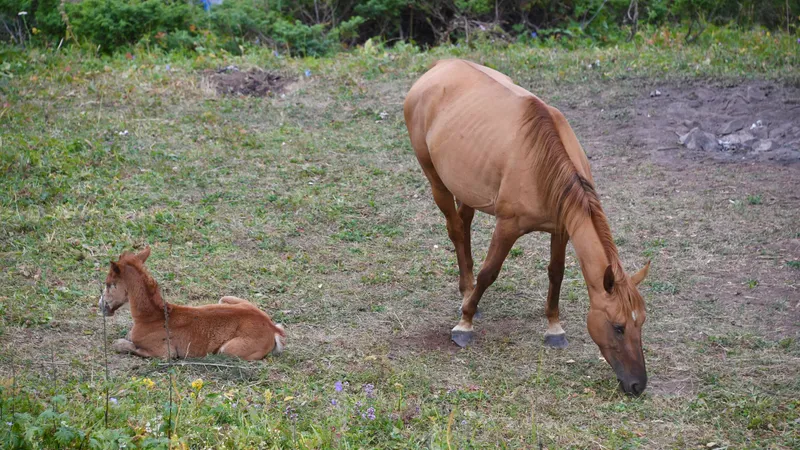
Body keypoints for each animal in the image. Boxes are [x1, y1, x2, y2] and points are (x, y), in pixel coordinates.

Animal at [98, 247, 285, 361]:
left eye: (108, 284)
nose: (101, 306)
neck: (151, 316)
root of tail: (272, 328)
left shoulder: (164, 352)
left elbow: (122, 345)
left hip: (229, 350)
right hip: (226, 299)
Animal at [403, 59, 651, 396]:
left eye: (641, 323)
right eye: (618, 327)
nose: (638, 384)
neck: (543, 164)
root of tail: (441, 66)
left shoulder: (561, 229)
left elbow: (556, 274)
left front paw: (554, 328)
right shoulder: (507, 227)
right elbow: (490, 272)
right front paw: (464, 324)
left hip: (468, 186)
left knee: (464, 226)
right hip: (436, 180)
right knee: (455, 229)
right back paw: (467, 294)